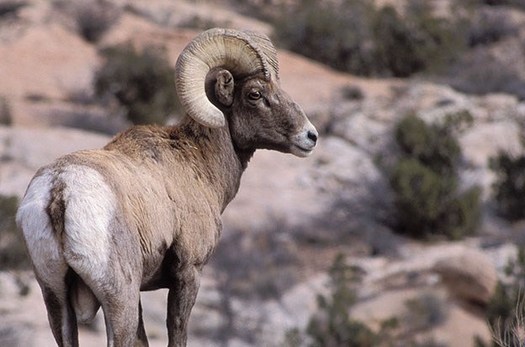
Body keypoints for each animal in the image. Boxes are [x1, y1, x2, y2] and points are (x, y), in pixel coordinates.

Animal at [16, 27, 318, 347]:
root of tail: (60, 190)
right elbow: (177, 329)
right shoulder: (189, 272)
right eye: (255, 94)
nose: (310, 136)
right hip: (118, 296)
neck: (198, 164)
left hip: (55, 298)